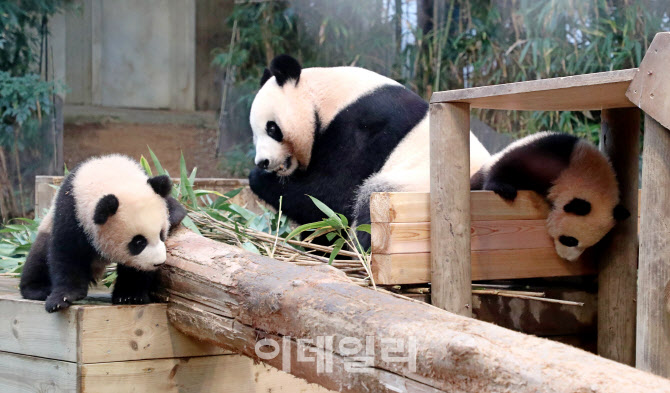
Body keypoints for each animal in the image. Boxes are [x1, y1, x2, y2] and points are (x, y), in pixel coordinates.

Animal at [20, 155, 186, 310]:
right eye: (138, 242)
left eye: (161, 234)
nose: (158, 262)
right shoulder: (71, 210)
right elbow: (68, 252)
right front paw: (63, 298)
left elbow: (136, 267)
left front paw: (129, 295)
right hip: (46, 227)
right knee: (38, 257)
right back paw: (37, 289)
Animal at [249, 54, 490, 247]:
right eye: (254, 133)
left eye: (272, 128)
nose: (262, 162)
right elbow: (324, 217)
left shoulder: (362, 126)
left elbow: (333, 194)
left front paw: (257, 177)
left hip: (414, 188)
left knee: (371, 209)